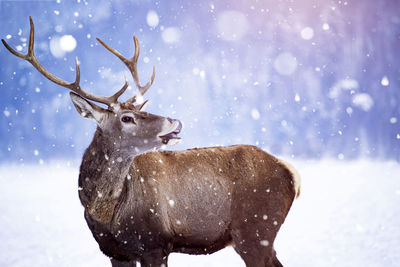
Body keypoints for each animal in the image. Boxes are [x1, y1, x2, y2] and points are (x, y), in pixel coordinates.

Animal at [2, 17, 300, 267]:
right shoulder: (114, 252)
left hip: (255, 231)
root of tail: (293, 175)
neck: (108, 214)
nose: (175, 122)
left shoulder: (156, 244)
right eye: (127, 118)